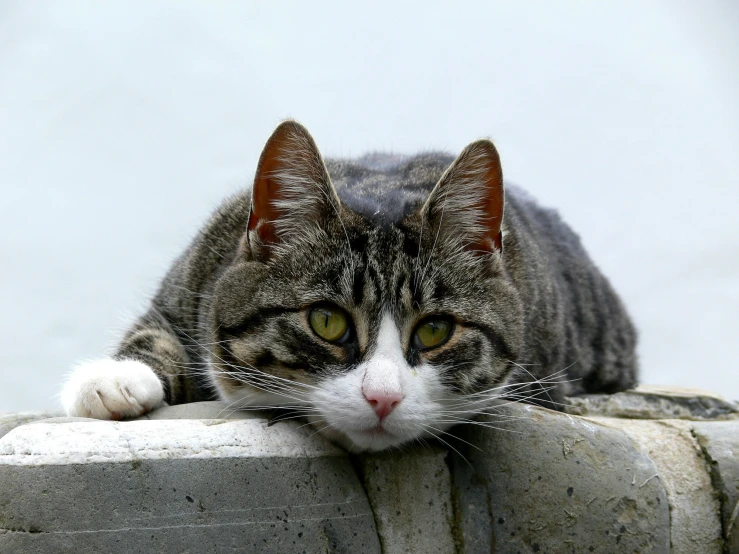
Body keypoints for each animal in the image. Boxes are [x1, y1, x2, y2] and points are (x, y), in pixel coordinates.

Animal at [60, 119, 640, 448]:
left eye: (434, 330)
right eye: (326, 320)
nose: (382, 399)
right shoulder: (195, 277)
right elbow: (152, 332)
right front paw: (112, 380)